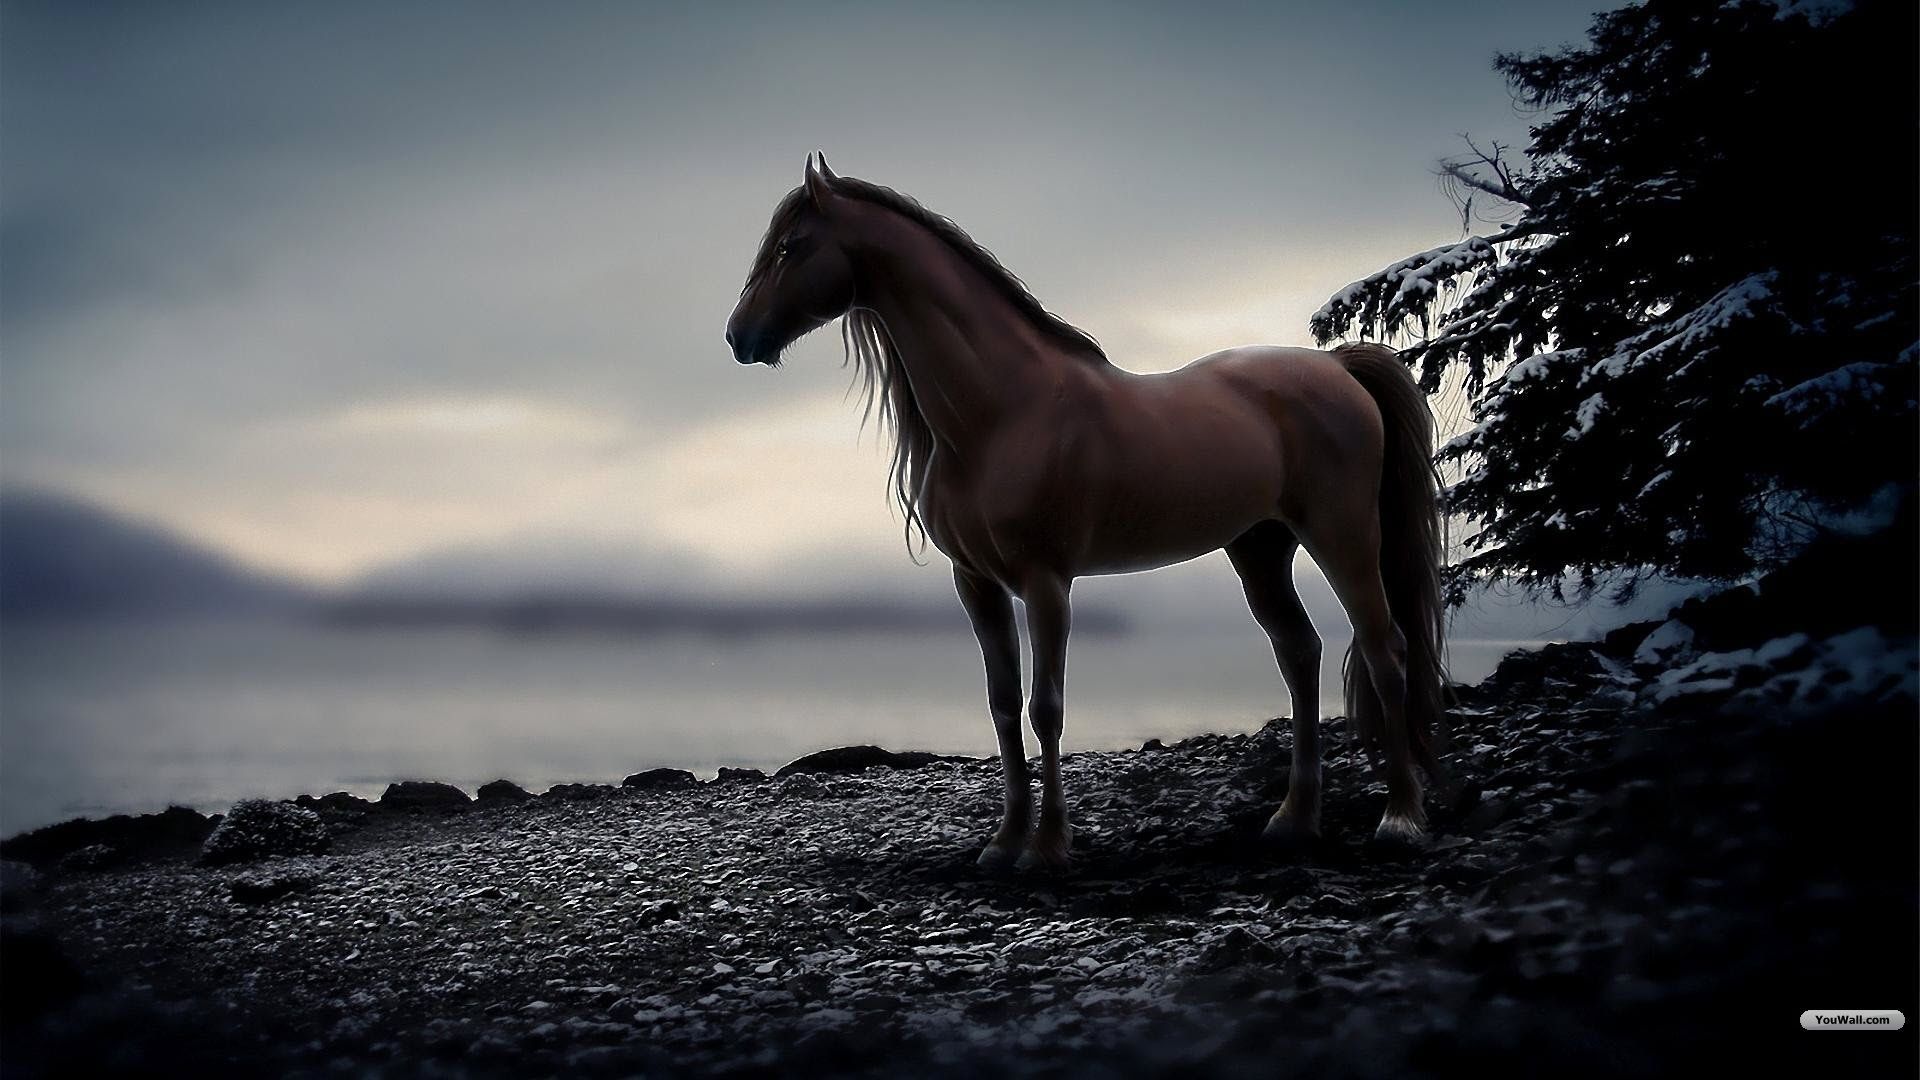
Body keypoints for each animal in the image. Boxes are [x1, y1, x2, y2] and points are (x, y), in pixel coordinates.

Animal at [725, 154, 1447, 870]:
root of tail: (1339, 369)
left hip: (1343, 536)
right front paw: (1004, 841)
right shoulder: (977, 585)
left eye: (791, 246)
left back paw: (1400, 818)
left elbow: (1046, 708)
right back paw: (1294, 819)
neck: (1004, 410)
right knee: (1300, 653)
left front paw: (1046, 847)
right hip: (1259, 549)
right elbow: (1001, 705)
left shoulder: (1047, 582)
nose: (738, 335)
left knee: (1385, 650)